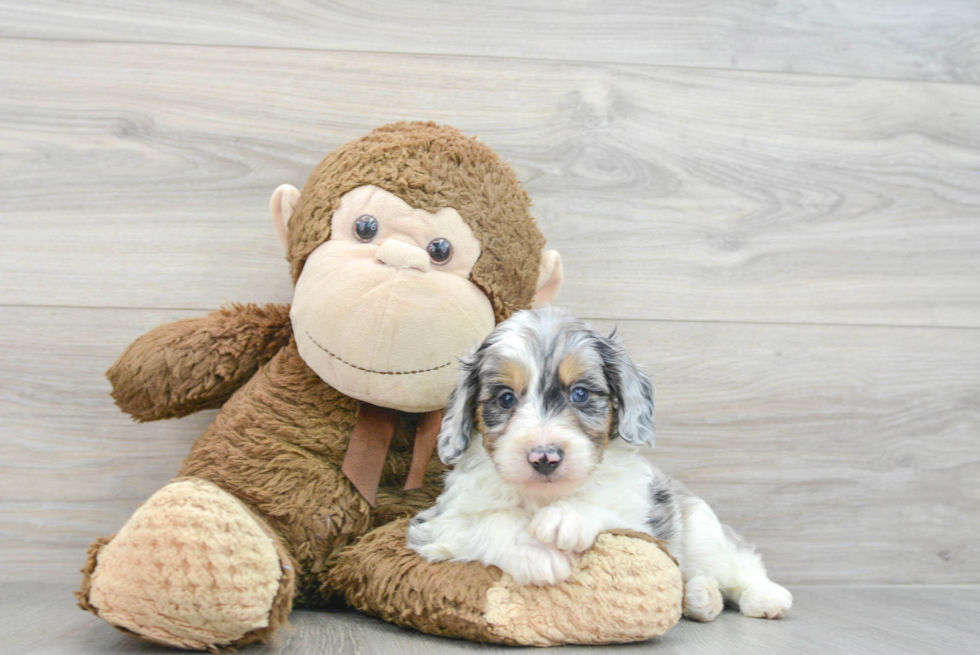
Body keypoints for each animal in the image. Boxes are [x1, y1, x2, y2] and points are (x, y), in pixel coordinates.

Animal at [410, 304, 792, 624]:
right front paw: (537, 552)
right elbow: (492, 521)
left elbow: (603, 508)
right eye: (505, 399)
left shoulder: (641, 520)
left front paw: (565, 518)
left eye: (580, 393)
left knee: (739, 565)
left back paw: (764, 596)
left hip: (702, 530)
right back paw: (701, 597)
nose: (544, 456)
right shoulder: (435, 524)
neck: (544, 496)